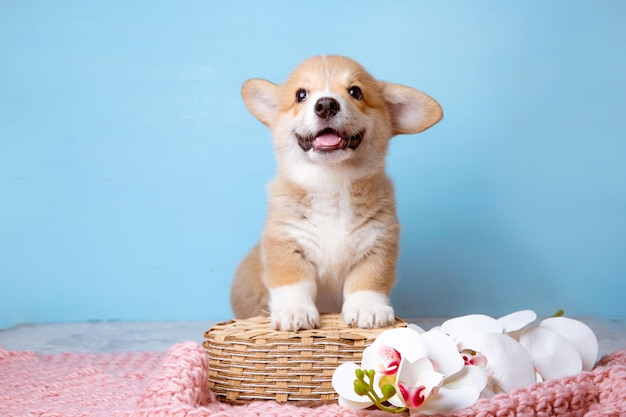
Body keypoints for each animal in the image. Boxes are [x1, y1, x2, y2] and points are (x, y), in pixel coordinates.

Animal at [232, 55, 442, 330]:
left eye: (355, 92)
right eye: (301, 94)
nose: (325, 105)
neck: (330, 180)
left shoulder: (378, 244)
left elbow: (368, 281)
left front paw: (368, 309)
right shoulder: (285, 242)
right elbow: (293, 281)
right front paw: (294, 311)